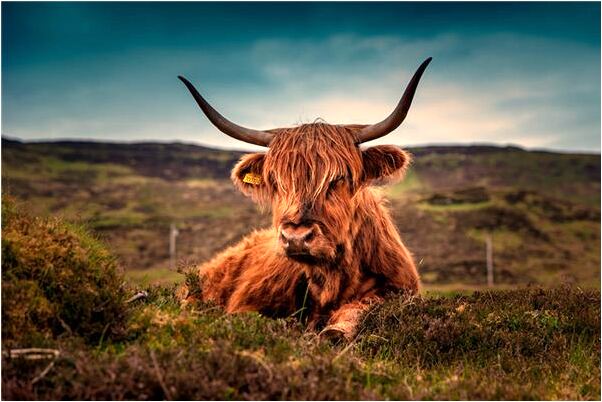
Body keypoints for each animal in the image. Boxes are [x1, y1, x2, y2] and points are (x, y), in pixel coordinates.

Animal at [176, 57, 428, 340]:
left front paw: (335, 330)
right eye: (276, 181)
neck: (330, 280)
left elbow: (361, 308)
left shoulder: (398, 289)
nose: (296, 237)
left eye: (338, 178)